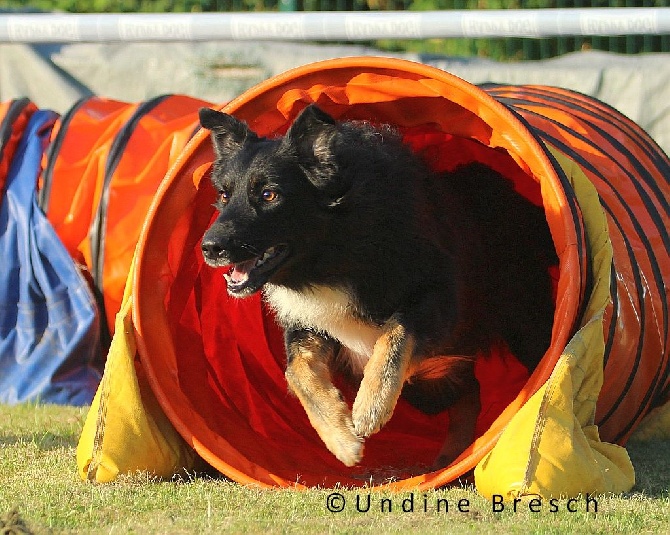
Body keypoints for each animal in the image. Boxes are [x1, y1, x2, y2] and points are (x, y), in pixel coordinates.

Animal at [202, 104, 560, 468]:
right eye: (224, 195)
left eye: (269, 194)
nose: (209, 248)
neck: (337, 250)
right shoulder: (308, 323)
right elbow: (296, 371)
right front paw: (341, 439)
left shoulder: (437, 295)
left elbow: (393, 334)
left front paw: (369, 408)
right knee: (468, 391)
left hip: (522, 327)